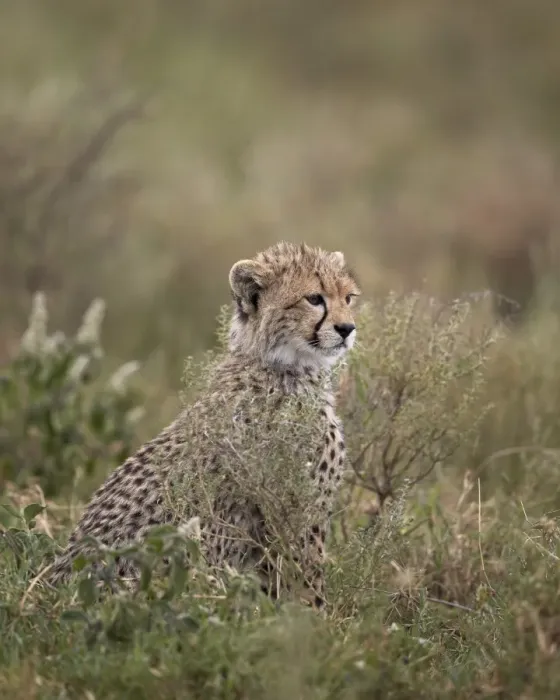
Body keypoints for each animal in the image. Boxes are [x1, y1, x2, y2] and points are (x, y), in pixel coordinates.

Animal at [46, 241, 360, 608]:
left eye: (348, 297)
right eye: (314, 298)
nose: (347, 329)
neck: (279, 364)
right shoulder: (296, 514)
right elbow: (307, 585)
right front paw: (317, 620)